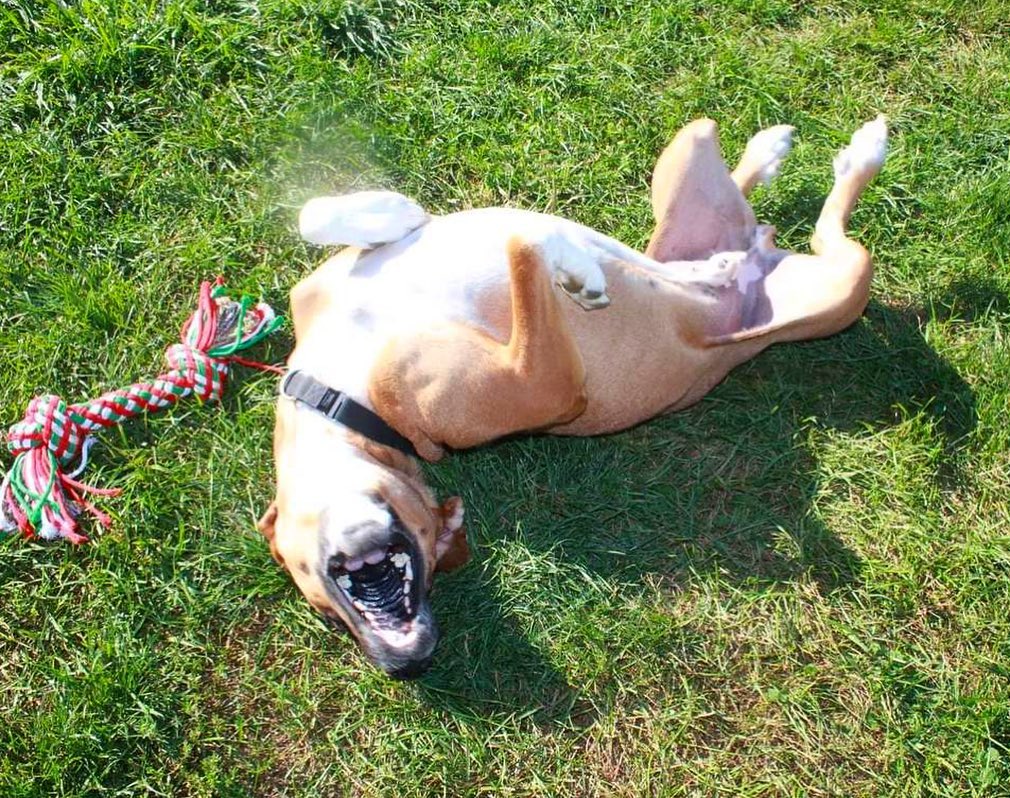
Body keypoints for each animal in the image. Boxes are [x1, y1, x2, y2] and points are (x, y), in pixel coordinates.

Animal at [258, 117, 884, 682]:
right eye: (328, 618)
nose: (403, 664)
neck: (340, 398)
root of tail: (761, 259)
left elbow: (317, 214)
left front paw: (404, 215)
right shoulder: (546, 384)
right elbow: (522, 246)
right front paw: (574, 266)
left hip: (709, 159)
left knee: (777, 217)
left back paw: (799, 168)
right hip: (831, 277)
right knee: (798, 231)